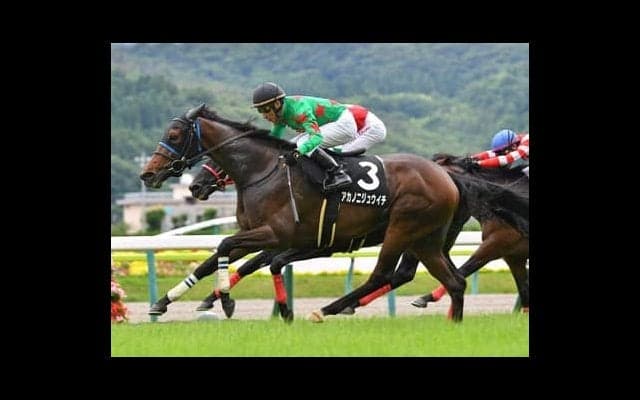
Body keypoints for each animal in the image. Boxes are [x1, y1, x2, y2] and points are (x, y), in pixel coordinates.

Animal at [140, 104, 529, 322]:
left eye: (174, 133)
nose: (148, 174)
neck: (262, 170)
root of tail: (445, 176)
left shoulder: (279, 236)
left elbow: (229, 250)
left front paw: (228, 301)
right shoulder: (276, 239)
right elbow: (219, 258)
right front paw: (164, 302)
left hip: (403, 229)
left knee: (384, 274)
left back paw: (327, 309)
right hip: (428, 238)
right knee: (450, 279)